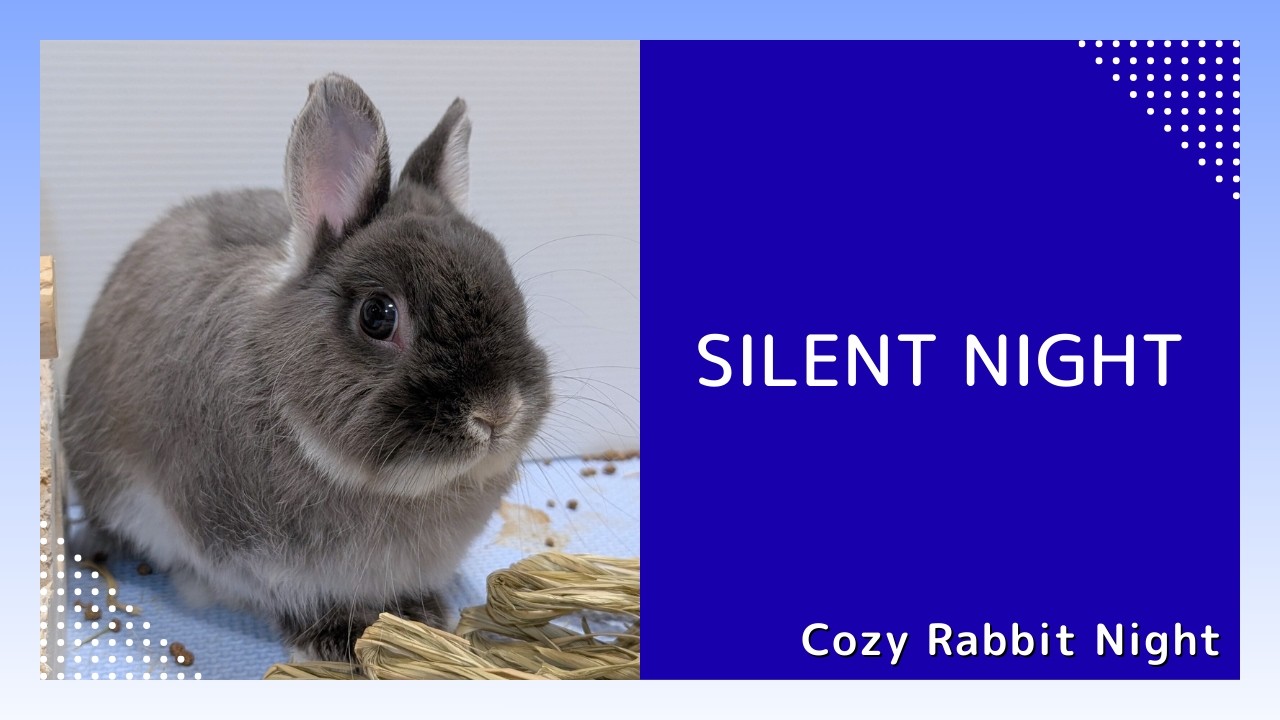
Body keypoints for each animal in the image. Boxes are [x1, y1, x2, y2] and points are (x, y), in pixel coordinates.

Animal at [59, 73, 552, 662]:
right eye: (378, 315)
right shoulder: (245, 554)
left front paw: (421, 612)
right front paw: (338, 638)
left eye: (510, 285)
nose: (497, 413)